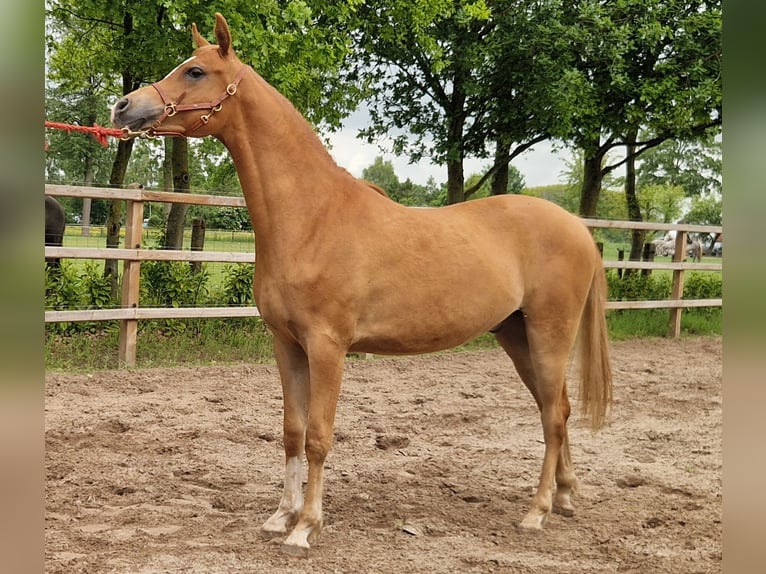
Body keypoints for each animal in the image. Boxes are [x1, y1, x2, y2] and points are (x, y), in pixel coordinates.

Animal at [112, 13, 612, 557]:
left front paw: (306, 526)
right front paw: (281, 516)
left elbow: (318, 436)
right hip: (516, 335)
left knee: (553, 417)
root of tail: (577, 227)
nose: (124, 106)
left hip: (548, 334)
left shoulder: (327, 347)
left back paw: (537, 511)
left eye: (196, 71)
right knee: (556, 409)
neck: (312, 217)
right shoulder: (286, 344)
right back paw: (564, 497)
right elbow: (291, 431)